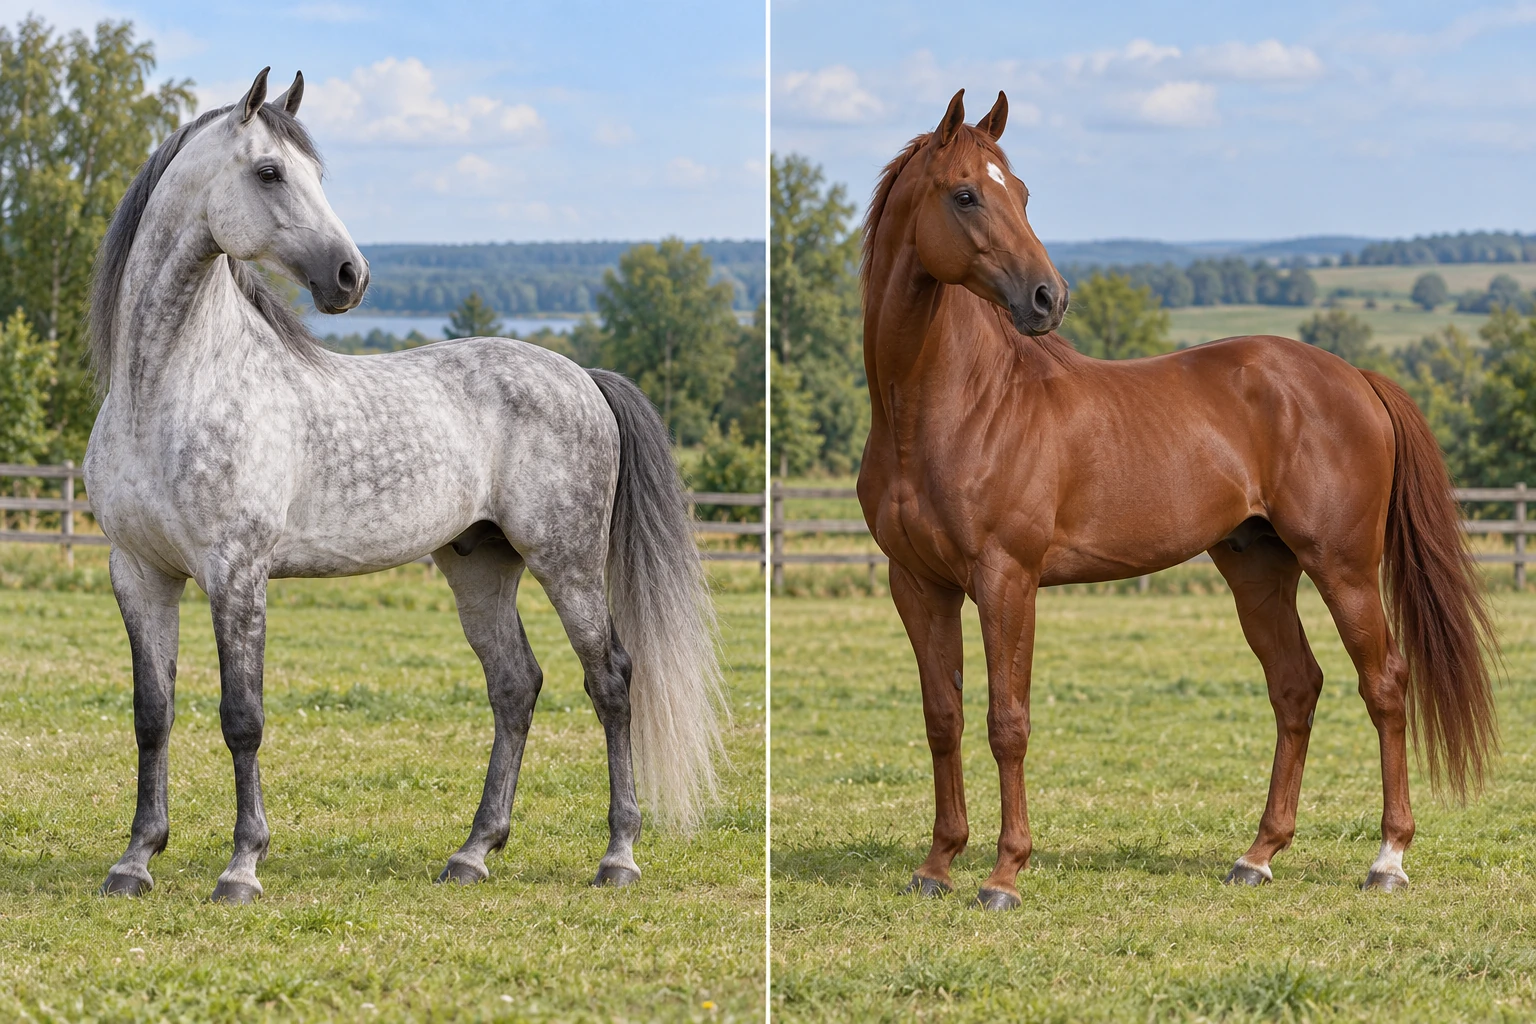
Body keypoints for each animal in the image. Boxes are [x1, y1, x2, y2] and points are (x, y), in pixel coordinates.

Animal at [83, 68, 723, 903]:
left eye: (316, 174)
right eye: (270, 172)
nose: (350, 276)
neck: (169, 389)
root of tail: (582, 374)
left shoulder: (236, 573)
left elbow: (241, 717)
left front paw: (242, 866)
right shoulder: (140, 573)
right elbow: (151, 714)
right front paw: (135, 859)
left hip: (569, 562)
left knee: (610, 680)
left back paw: (618, 855)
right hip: (480, 566)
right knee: (515, 686)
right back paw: (474, 852)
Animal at [856, 89, 1496, 911]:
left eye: (1022, 192)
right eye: (966, 194)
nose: (1048, 297)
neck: (953, 408)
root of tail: (1354, 376)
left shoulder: (1007, 580)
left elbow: (1008, 721)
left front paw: (1004, 875)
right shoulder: (918, 585)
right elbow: (944, 718)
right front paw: (937, 866)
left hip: (1344, 567)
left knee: (1383, 685)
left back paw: (1388, 859)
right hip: (1258, 569)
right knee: (1296, 688)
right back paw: (1258, 855)